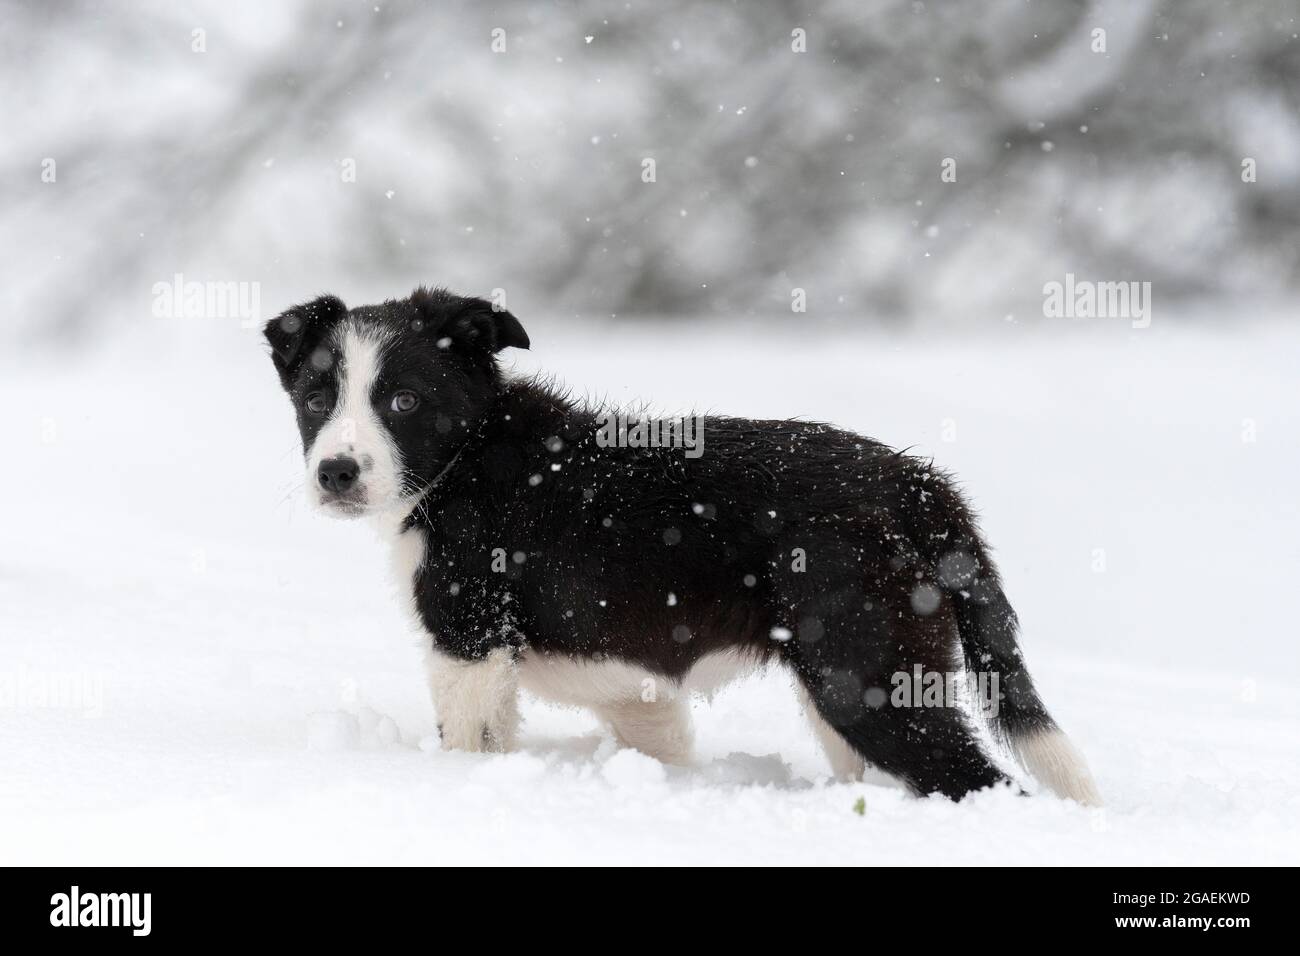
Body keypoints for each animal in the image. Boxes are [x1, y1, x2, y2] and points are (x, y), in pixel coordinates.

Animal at [263, 287, 1097, 806]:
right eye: (316, 399)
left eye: (403, 400)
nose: (336, 473)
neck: (468, 455)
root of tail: (914, 482)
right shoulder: (630, 686)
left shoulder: (468, 642)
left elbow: (472, 744)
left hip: (866, 674)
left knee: (976, 780)